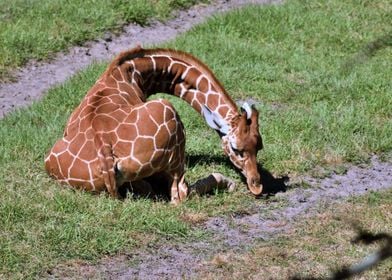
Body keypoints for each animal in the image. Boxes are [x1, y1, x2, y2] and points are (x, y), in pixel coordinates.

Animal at [44, 45, 262, 201]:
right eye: (235, 149)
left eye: (259, 147)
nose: (257, 185)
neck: (135, 72)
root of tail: (104, 150)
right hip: (170, 116)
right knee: (180, 195)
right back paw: (227, 183)